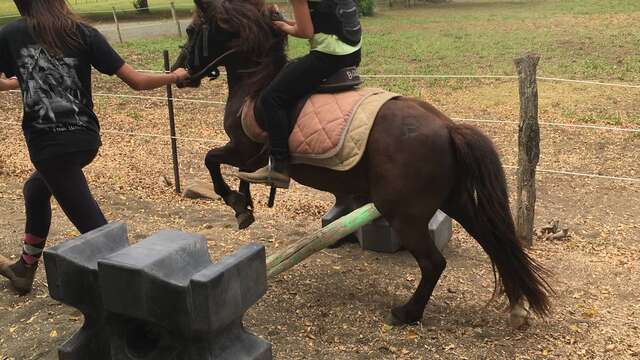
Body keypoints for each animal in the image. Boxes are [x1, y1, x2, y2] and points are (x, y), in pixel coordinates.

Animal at [174, 0, 552, 326]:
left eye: (192, 30)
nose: (179, 72)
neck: (256, 83)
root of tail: (447, 127)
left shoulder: (241, 148)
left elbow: (212, 160)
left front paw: (238, 204)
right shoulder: (249, 156)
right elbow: (239, 174)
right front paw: (246, 205)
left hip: (405, 213)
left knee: (434, 262)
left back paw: (407, 313)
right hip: (455, 200)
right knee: (495, 242)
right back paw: (517, 306)